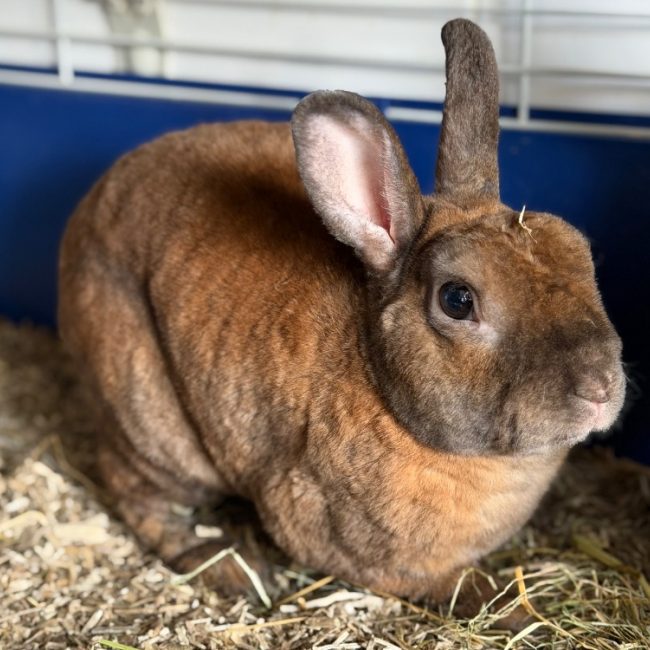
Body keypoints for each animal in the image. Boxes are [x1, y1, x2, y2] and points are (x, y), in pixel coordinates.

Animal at [58, 18, 625, 608]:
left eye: (581, 251)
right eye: (458, 299)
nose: (601, 388)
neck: (379, 379)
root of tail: (87, 210)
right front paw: (505, 604)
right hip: (148, 418)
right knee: (139, 496)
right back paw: (230, 567)